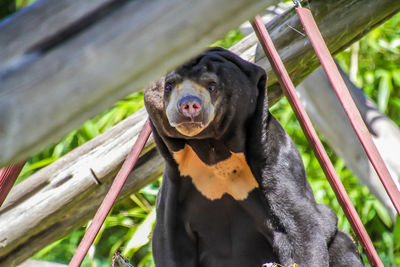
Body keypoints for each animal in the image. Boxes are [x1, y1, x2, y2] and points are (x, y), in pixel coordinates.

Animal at [144, 47, 362, 266]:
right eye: (169, 85)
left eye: (212, 86)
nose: (189, 105)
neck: (213, 153)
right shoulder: (177, 183)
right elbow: (169, 245)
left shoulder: (274, 162)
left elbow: (302, 226)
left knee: (343, 245)